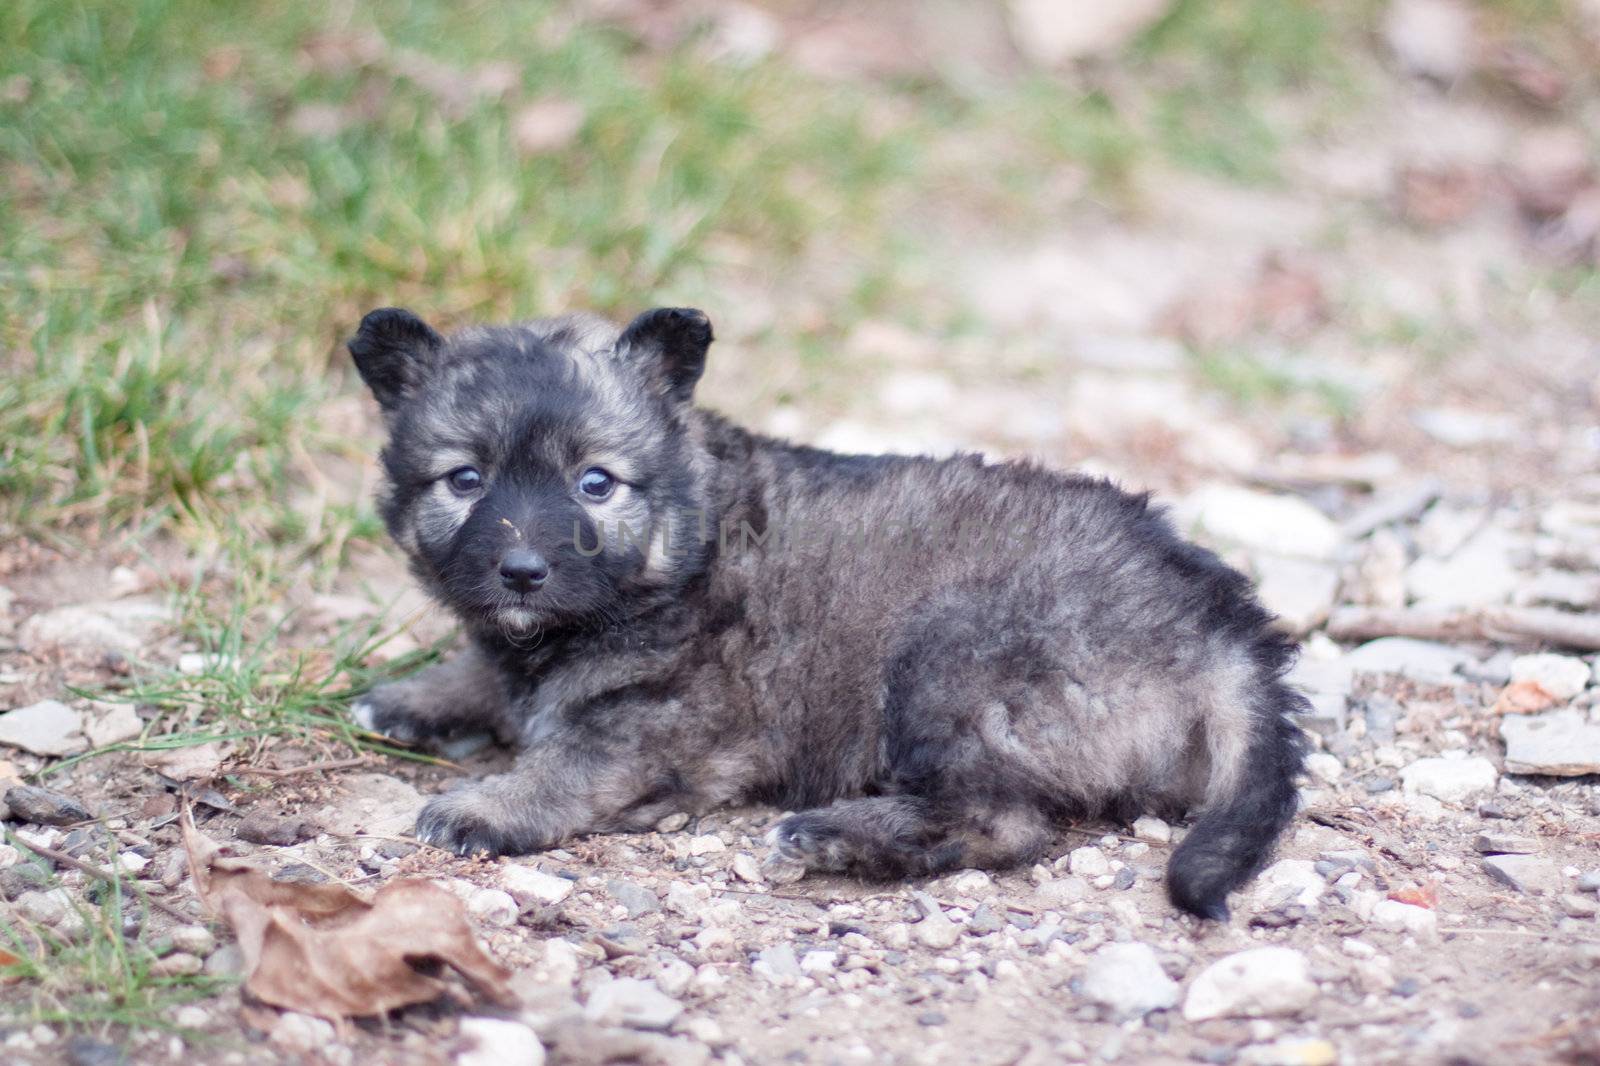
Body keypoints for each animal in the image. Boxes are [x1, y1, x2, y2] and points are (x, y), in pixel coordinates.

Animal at [347, 305, 1299, 915]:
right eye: (465, 479)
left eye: (596, 483)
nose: (522, 572)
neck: (687, 538)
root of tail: (1222, 626)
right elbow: (484, 668)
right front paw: (420, 695)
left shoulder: (654, 724)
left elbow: (563, 768)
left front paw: (489, 805)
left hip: (949, 656)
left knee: (1008, 822)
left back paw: (838, 834)